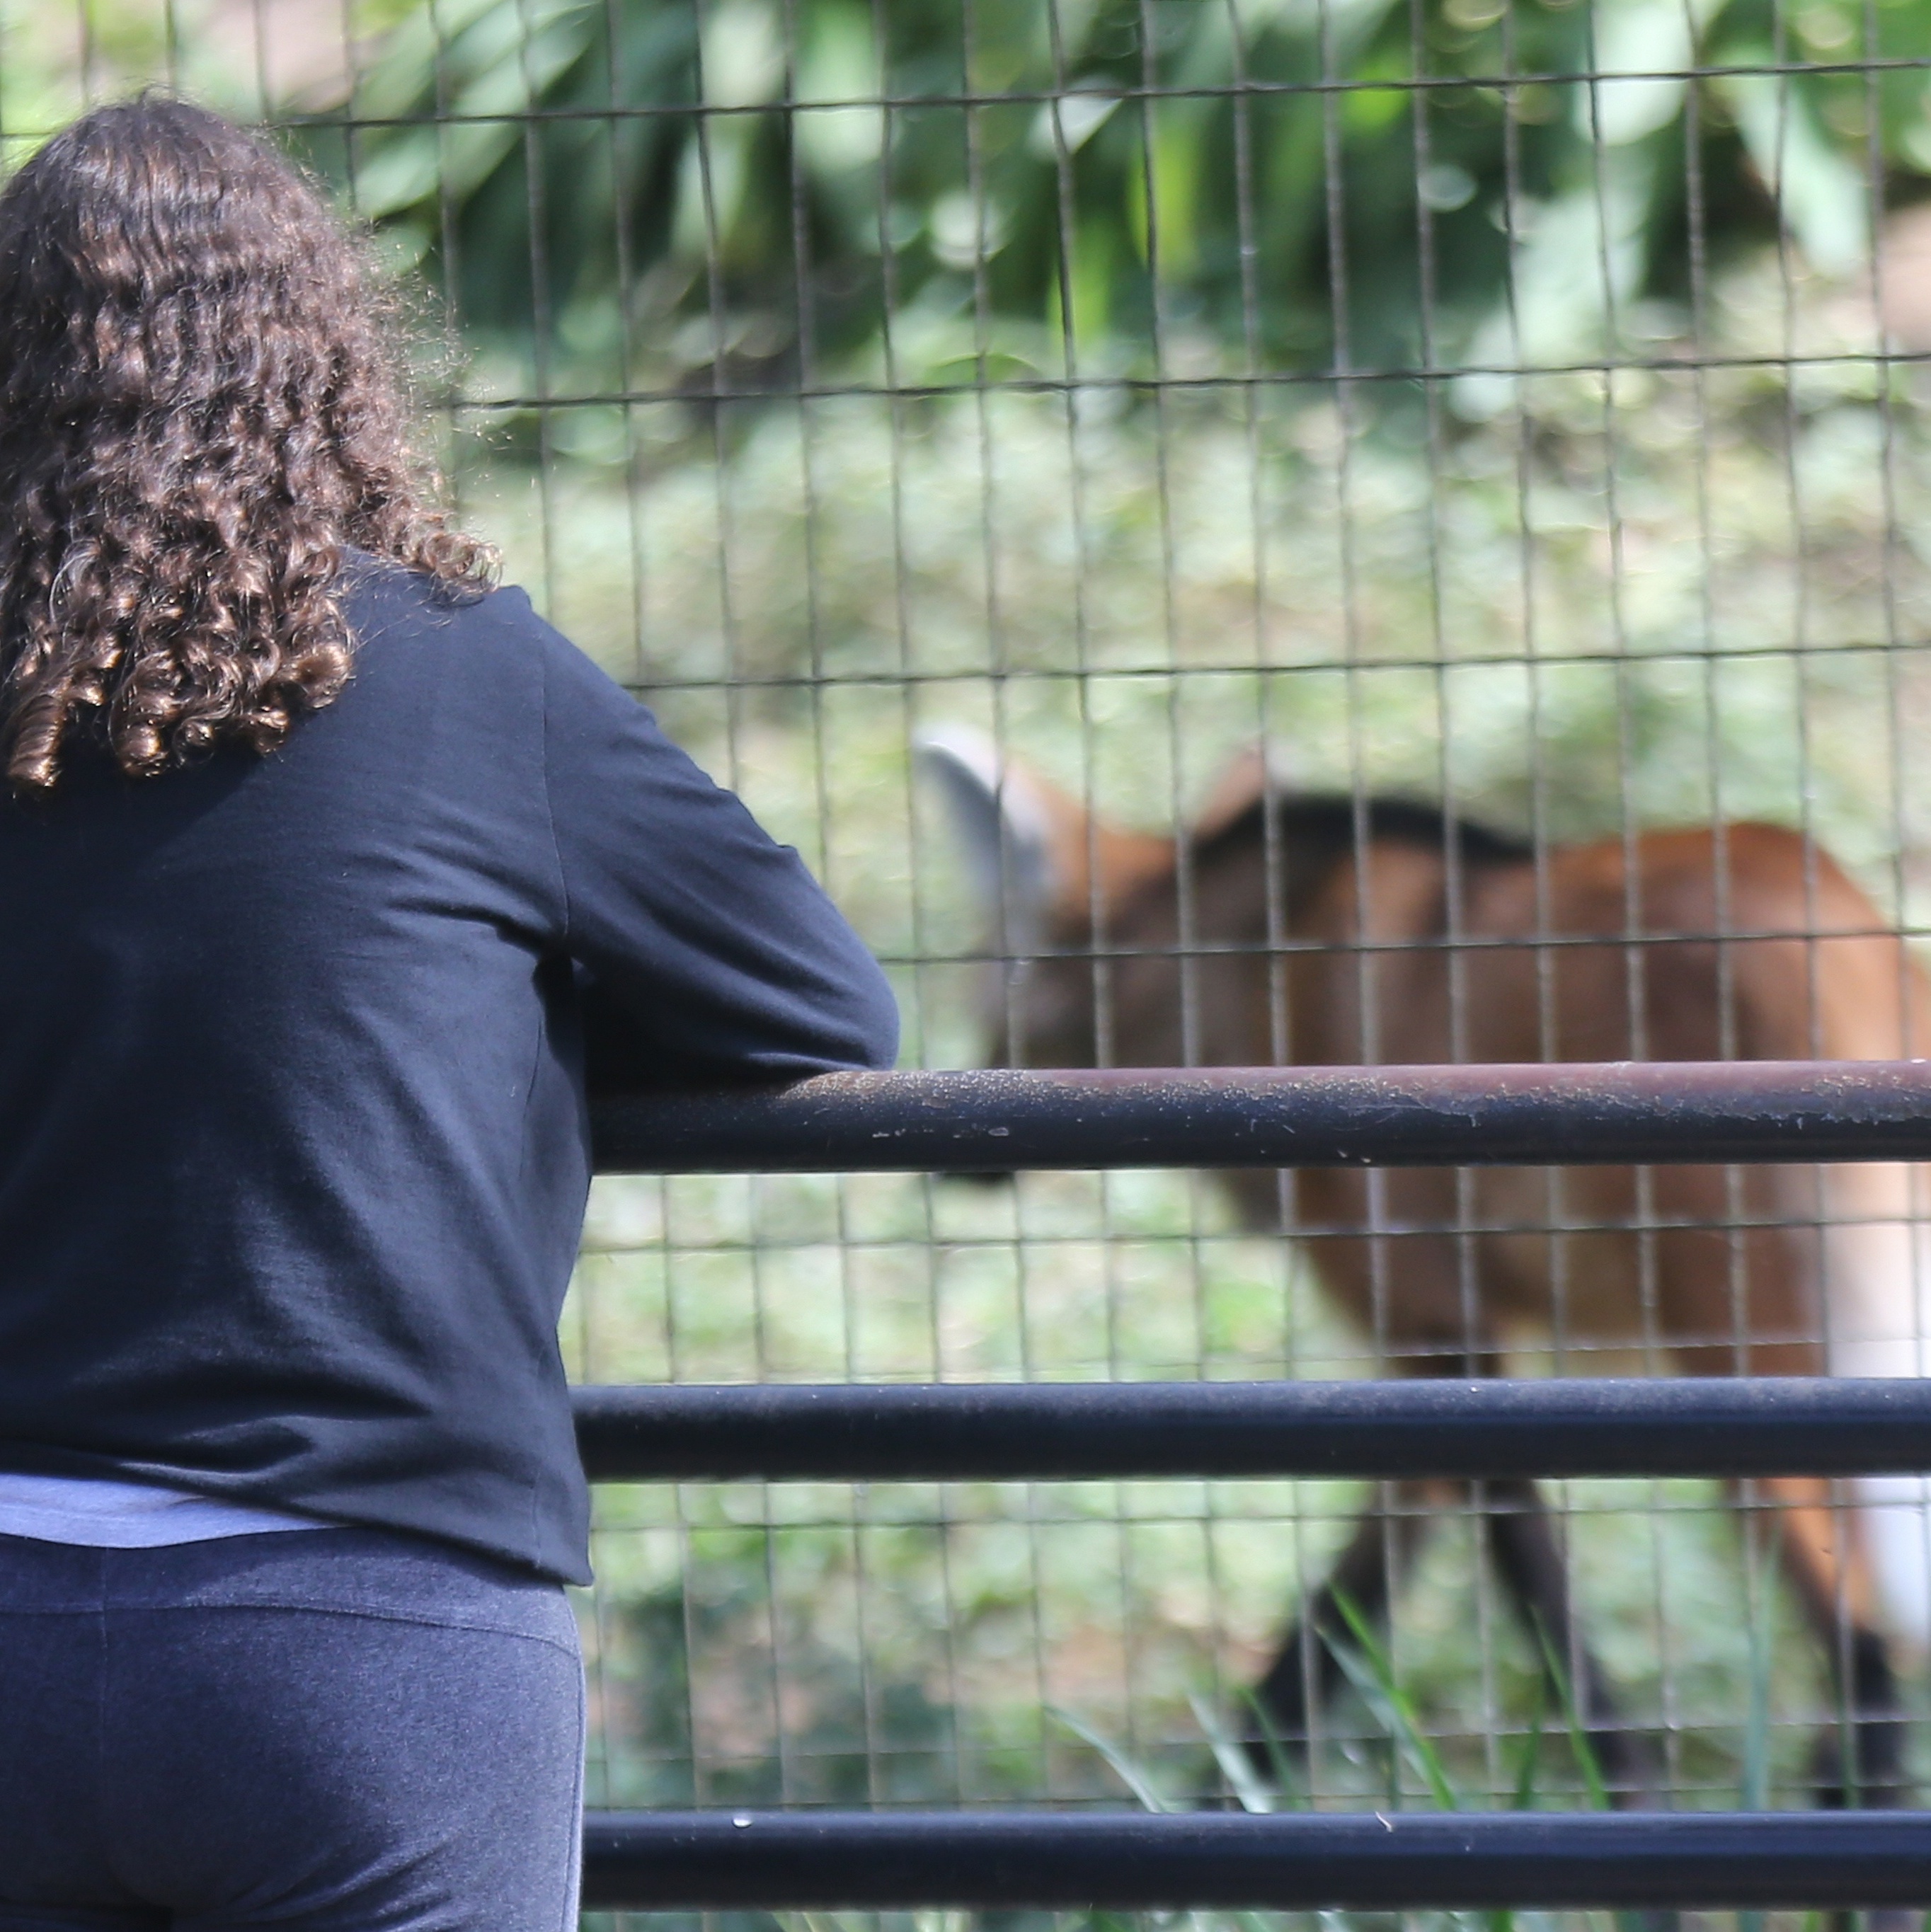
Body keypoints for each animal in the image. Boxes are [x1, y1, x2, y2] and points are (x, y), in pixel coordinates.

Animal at [916, 726, 1931, 1808]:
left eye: (985, 993)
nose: (953, 1164)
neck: (1240, 974)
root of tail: (1840, 927)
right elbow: (1349, 1602)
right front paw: (1223, 1802)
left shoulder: (1431, 1325)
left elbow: (1522, 1589)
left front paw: (1620, 1792)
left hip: (1733, 1344)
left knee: (1856, 1629)